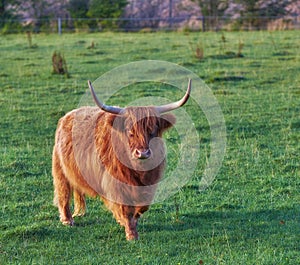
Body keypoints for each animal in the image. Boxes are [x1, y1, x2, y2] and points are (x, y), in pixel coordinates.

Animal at [51, 79, 191, 239]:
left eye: (153, 130)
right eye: (130, 132)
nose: (142, 153)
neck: (138, 171)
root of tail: (68, 115)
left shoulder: (149, 182)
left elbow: (142, 206)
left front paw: (134, 221)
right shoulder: (116, 183)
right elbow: (125, 208)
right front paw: (131, 233)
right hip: (60, 169)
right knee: (63, 192)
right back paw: (67, 220)